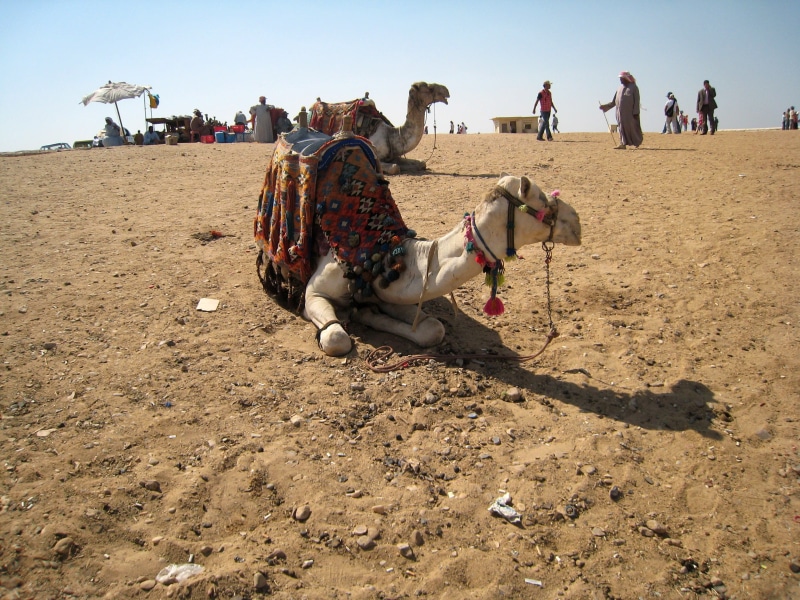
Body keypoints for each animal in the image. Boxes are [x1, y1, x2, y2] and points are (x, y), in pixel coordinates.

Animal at [310, 82, 450, 174]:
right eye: (429, 88)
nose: (446, 91)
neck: (391, 135)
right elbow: (395, 167)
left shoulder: (394, 156)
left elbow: (421, 163)